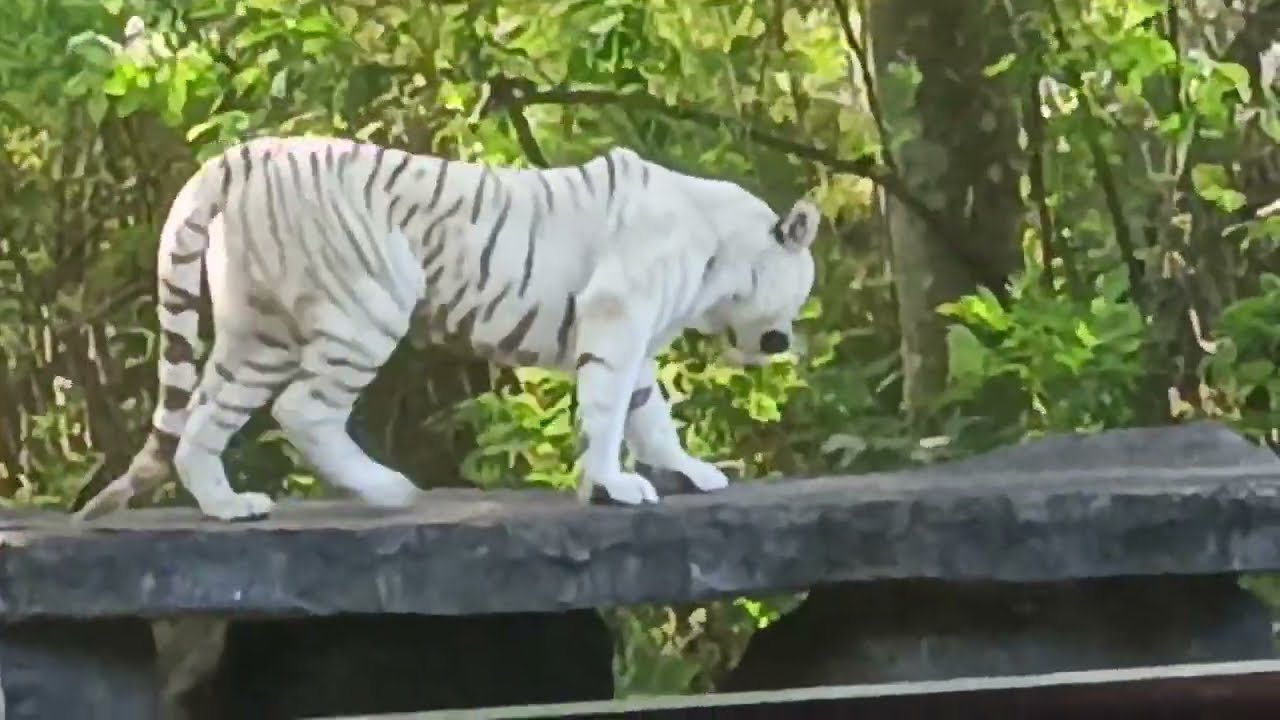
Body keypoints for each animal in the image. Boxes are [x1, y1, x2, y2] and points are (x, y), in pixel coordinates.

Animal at [72, 135, 822, 523]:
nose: (782, 341)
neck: (719, 252)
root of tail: (247, 152)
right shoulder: (617, 318)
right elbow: (611, 413)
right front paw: (612, 487)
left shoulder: (634, 339)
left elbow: (649, 415)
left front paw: (688, 473)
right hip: (368, 305)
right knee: (303, 409)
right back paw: (389, 490)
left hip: (259, 332)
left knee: (204, 416)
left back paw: (228, 505)